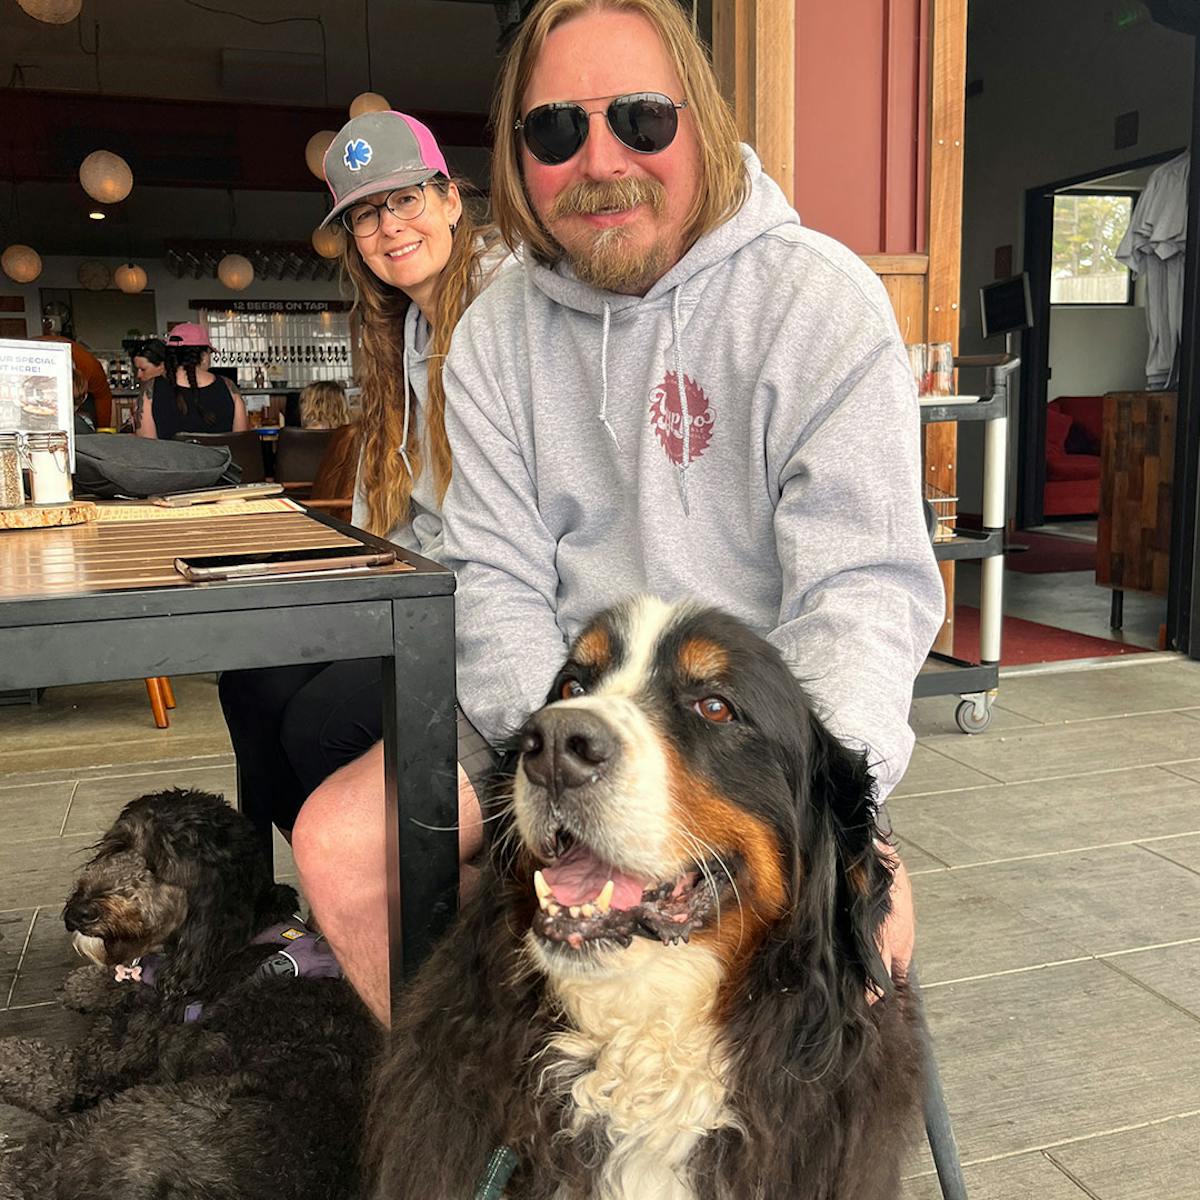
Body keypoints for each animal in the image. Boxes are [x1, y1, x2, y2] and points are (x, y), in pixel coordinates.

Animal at [0, 787, 379, 1200]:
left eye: (158, 868)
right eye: (118, 846)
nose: (79, 912)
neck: (231, 941)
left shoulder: (93, 1067)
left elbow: (35, 1059)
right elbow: (130, 977)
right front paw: (86, 983)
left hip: (113, 1122)